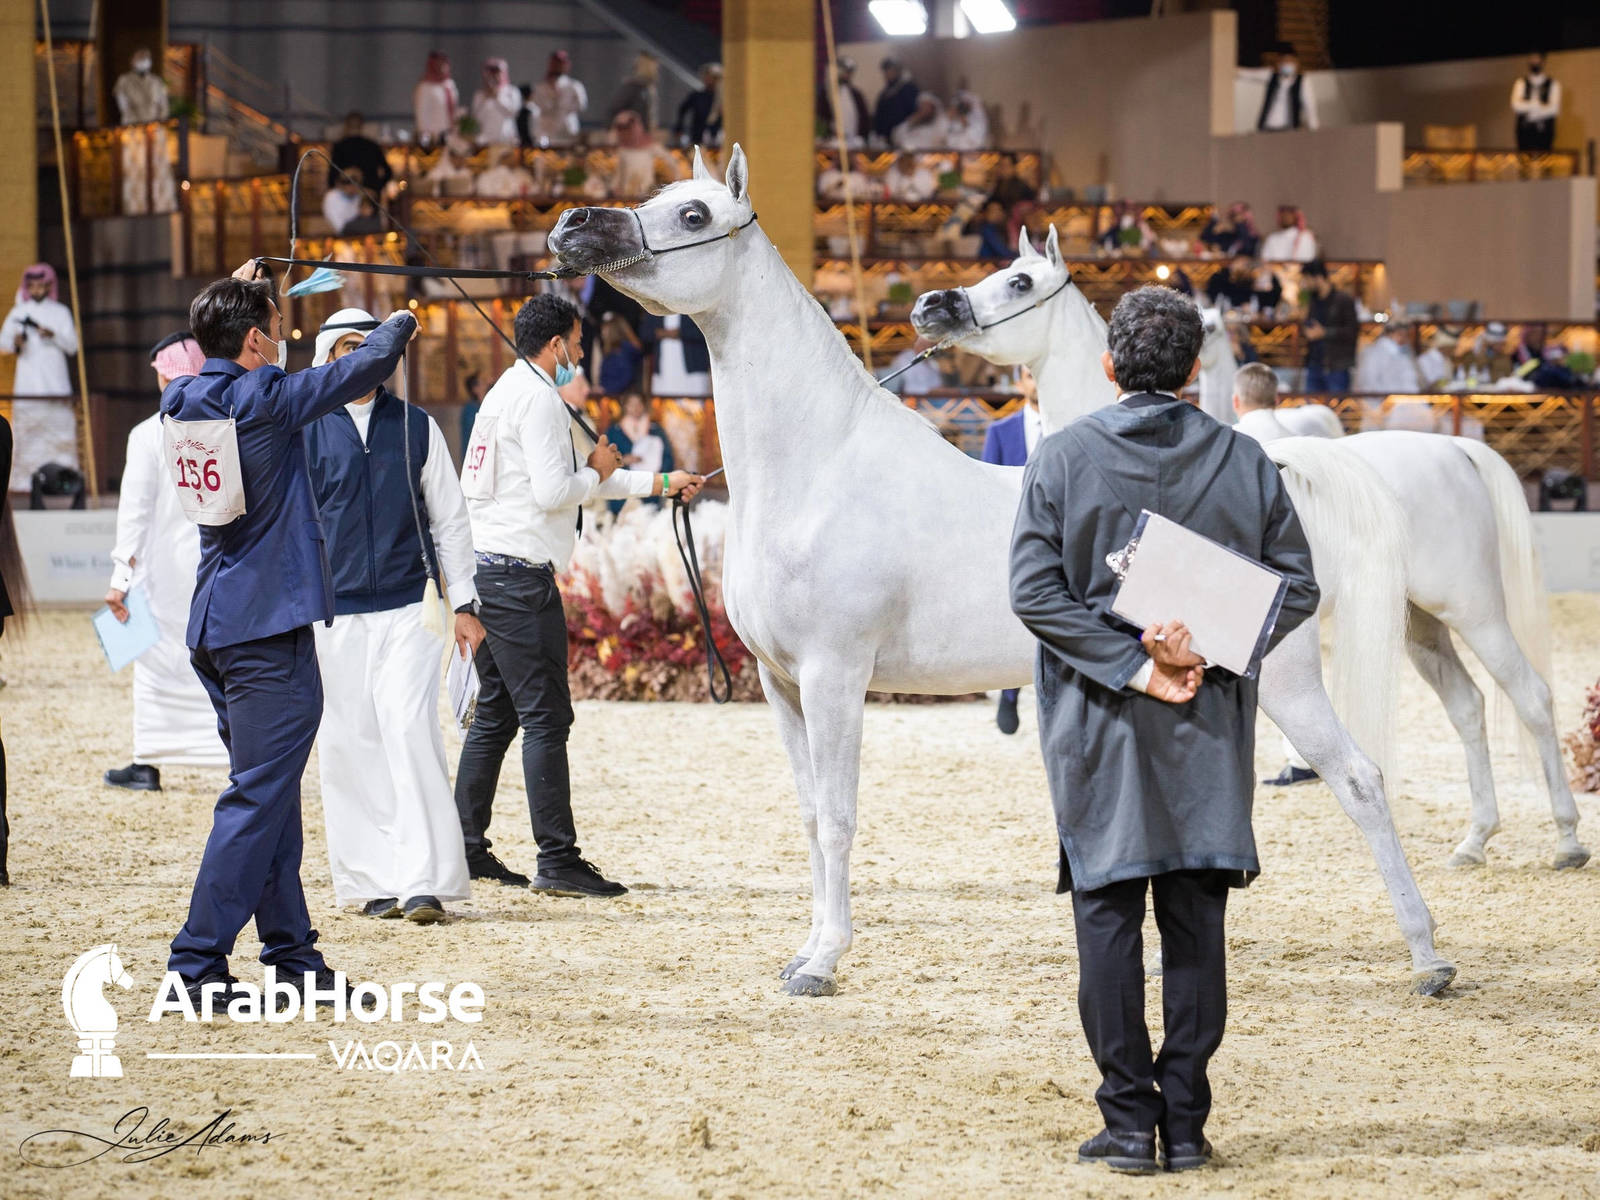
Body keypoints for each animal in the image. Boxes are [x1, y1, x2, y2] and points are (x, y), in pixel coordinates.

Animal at [549, 146, 1456, 998]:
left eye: (693, 213)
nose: (571, 226)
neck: (820, 463)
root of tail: (1274, 485)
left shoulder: (836, 675)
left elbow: (839, 816)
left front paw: (826, 961)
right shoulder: (780, 683)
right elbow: (809, 817)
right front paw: (805, 950)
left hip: (1285, 678)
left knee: (1361, 780)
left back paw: (1429, 956)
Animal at [913, 234, 1588, 875]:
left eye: (1019, 282)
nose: (930, 306)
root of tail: (1458, 451)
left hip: (1475, 610)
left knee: (1531, 697)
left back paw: (1567, 839)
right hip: (1422, 623)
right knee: (1469, 708)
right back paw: (1474, 840)